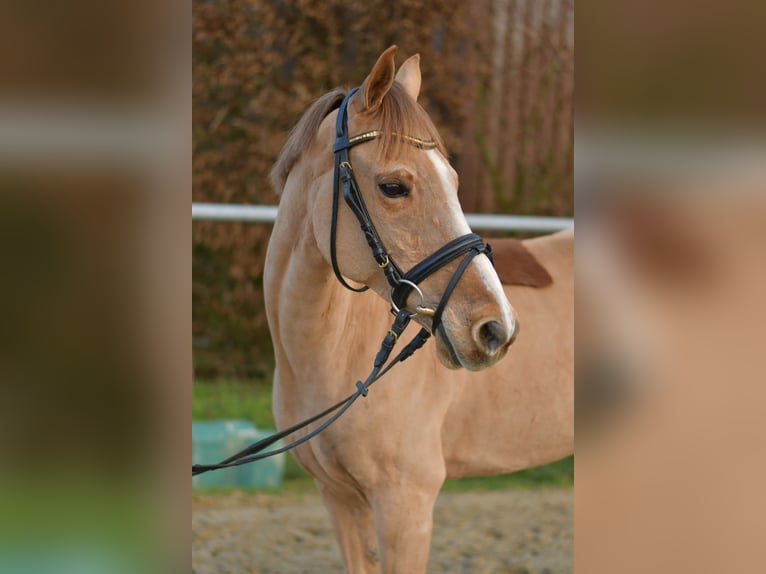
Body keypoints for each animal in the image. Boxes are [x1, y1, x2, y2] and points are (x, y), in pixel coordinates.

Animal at [264, 45, 573, 573]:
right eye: (393, 187)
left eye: (453, 180)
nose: (497, 329)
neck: (334, 355)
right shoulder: (339, 500)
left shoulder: (405, 504)